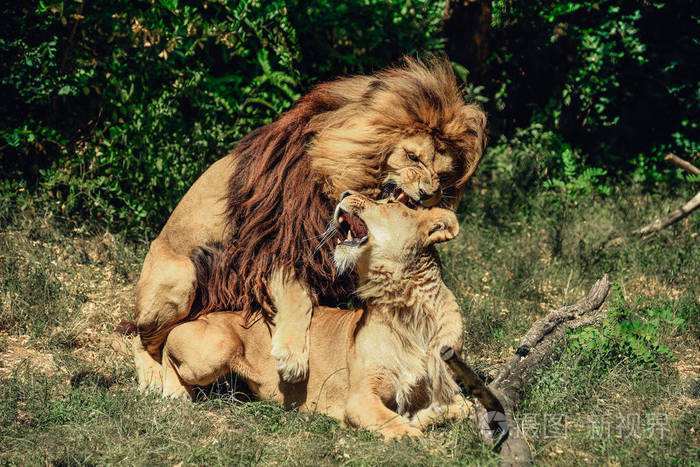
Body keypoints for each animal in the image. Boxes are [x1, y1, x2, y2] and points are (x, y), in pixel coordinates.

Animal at [135, 56, 486, 390]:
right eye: (413, 157)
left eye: (442, 174)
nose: (428, 194)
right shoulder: (280, 238)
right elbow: (296, 295)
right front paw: (292, 356)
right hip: (181, 278)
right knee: (140, 336)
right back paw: (152, 377)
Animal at [160, 193, 470, 438]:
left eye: (390, 203)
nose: (345, 193)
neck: (409, 308)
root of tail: (205, 314)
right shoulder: (360, 398)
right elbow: (394, 422)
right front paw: (415, 433)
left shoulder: (446, 387)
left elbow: (463, 408)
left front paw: (423, 416)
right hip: (218, 347)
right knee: (166, 348)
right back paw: (172, 390)